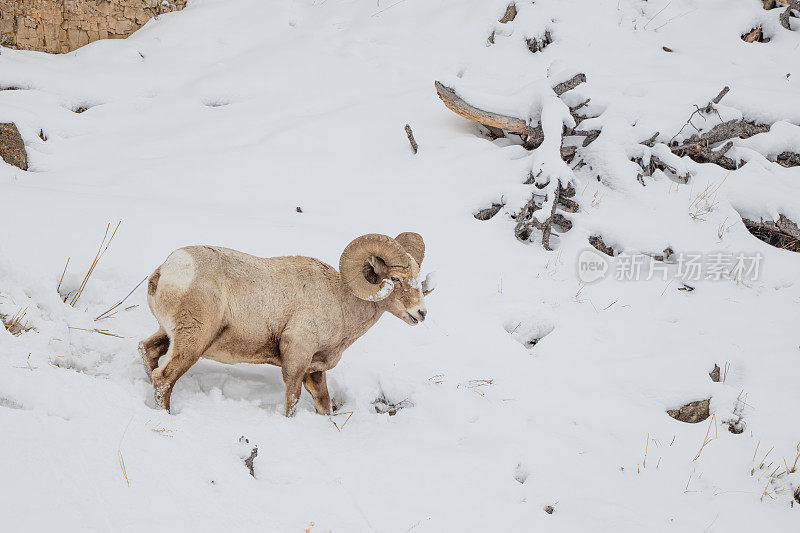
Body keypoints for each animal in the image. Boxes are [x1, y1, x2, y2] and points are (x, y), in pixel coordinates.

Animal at [141, 233, 434, 416]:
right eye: (395, 279)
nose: (420, 313)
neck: (341, 302)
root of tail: (166, 271)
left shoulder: (315, 370)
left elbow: (324, 404)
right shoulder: (296, 360)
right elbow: (291, 402)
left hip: (170, 335)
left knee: (148, 352)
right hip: (193, 342)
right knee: (164, 378)